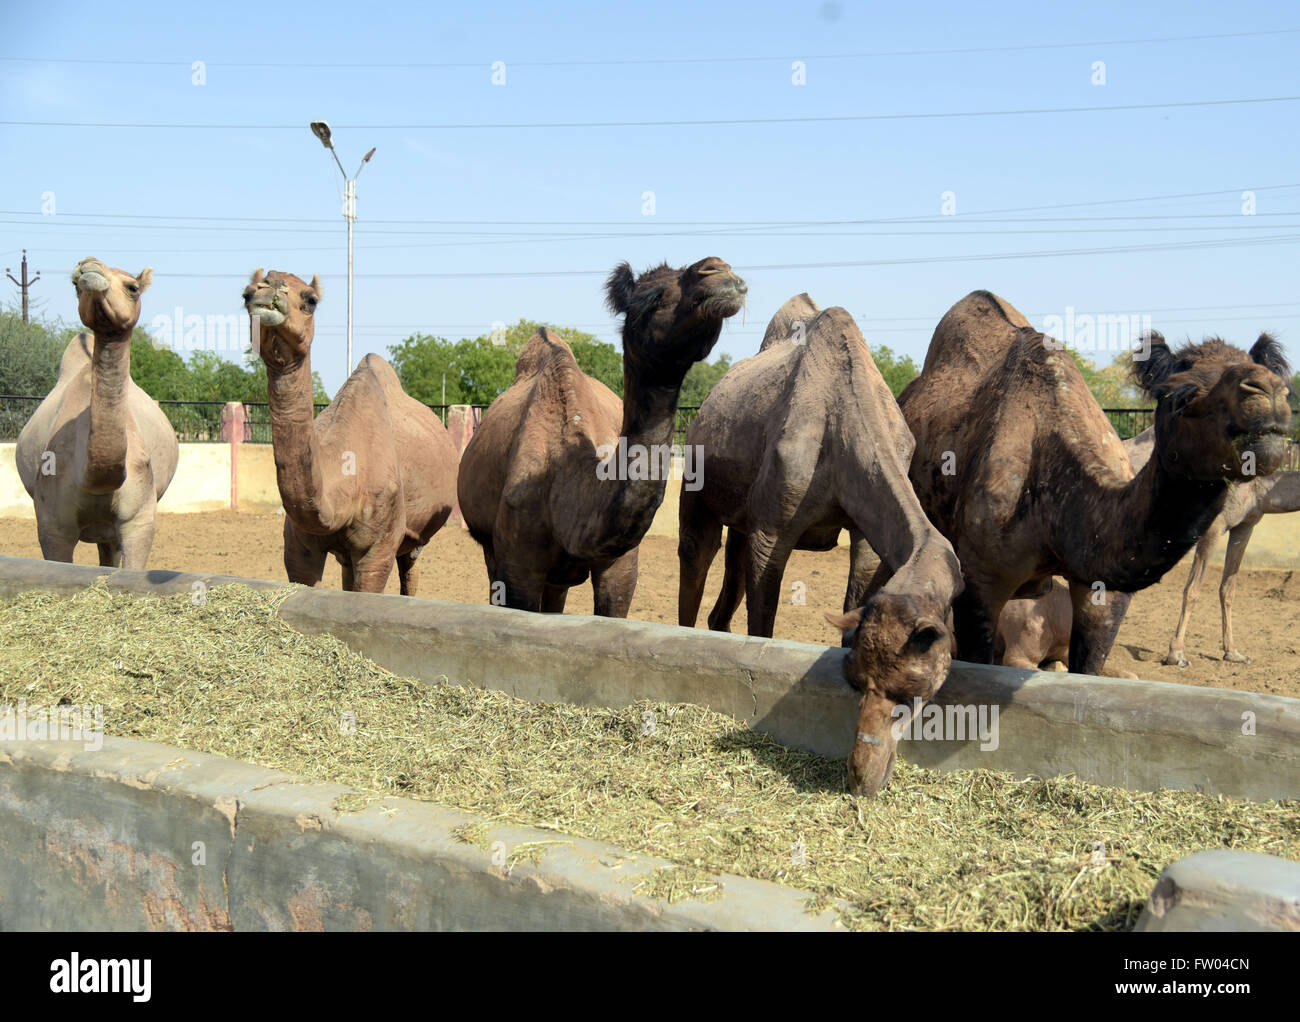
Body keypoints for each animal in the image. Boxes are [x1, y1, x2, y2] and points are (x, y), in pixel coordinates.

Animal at [241, 266, 460, 592]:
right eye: (245, 294)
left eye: (311, 300)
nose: (267, 290)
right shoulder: (299, 547)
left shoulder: (377, 549)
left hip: (414, 534)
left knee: (410, 567)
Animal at [681, 291, 967, 790]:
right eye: (859, 681)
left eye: (912, 693)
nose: (861, 776)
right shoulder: (771, 527)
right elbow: (764, 623)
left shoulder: (865, 535)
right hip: (696, 486)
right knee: (696, 554)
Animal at [894, 292, 1289, 676]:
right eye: (1181, 396)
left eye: (1266, 371)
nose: (1268, 392)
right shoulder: (980, 582)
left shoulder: (1105, 593)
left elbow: (1088, 670)